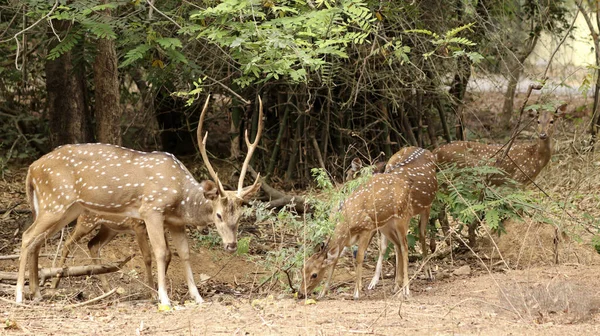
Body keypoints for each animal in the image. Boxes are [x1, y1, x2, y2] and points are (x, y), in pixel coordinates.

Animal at [16, 94, 262, 308]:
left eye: (240, 216)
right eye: (218, 214)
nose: (231, 245)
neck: (181, 199)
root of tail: (31, 169)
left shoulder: (175, 222)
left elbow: (184, 253)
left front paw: (198, 297)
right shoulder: (151, 209)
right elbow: (160, 252)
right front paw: (163, 299)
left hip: (65, 208)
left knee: (38, 240)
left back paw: (37, 293)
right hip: (55, 203)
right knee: (27, 236)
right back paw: (20, 295)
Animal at [298, 147, 436, 300]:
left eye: (314, 274)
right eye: (302, 269)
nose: (300, 293)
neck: (348, 223)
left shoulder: (366, 228)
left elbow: (359, 257)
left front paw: (357, 292)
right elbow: (335, 261)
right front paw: (322, 293)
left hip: (404, 216)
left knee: (407, 245)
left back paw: (407, 289)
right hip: (386, 225)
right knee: (398, 246)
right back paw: (397, 287)